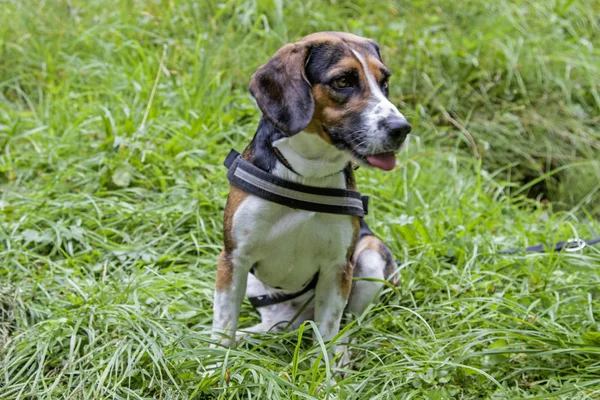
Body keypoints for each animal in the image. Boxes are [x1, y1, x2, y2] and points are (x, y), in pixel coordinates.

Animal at [212, 31, 412, 356]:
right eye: (342, 81)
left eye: (384, 82)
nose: (402, 128)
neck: (307, 175)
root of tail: (295, 322)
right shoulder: (233, 259)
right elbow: (222, 329)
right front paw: (216, 364)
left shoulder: (337, 268)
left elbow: (328, 335)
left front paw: (326, 368)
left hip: (369, 257)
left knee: (348, 325)